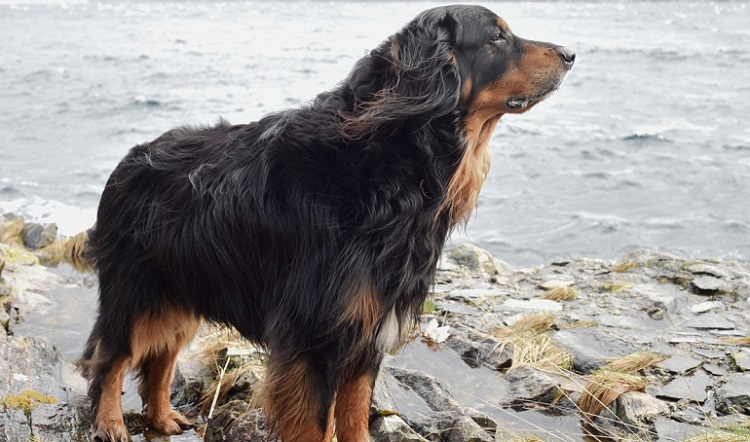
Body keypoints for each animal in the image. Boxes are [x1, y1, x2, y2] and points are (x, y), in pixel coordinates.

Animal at [81, 4, 576, 442]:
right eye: (497, 37)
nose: (571, 53)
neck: (389, 164)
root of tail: (128, 159)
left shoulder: (368, 327)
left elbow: (355, 415)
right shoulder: (315, 334)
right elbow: (317, 425)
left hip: (183, 286)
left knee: (160, 356)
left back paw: (162, 417)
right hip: (137, 288)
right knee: (112, 355)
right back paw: (109, 423)